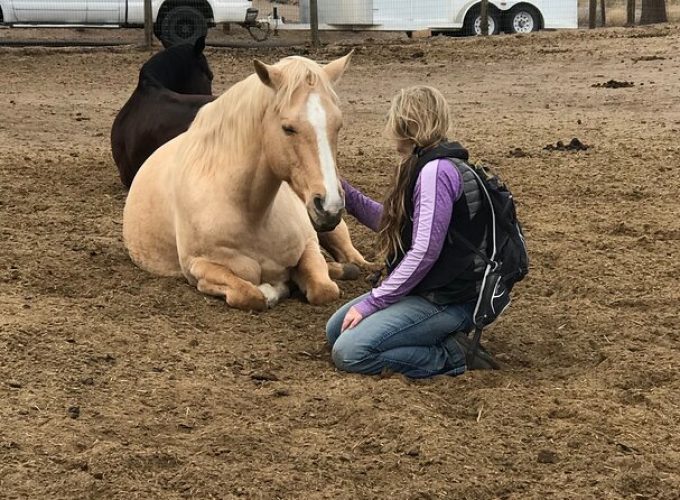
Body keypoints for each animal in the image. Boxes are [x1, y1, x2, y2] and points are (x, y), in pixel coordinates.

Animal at [122, 51, 366, 308]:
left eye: (338, 125)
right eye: (287, 128)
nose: (330, 206)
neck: (251, 214)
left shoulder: (309, 244)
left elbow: (323, 289)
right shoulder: (198, 266)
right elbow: (249, 294)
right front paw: (273, 289)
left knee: (354, 259)